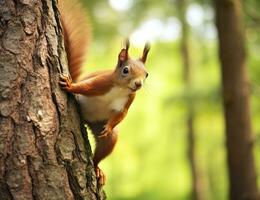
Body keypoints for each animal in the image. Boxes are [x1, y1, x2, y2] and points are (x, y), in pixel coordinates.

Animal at [57, 0, 150, 186]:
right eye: (126, 70)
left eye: (146, 74)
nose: (138, 84)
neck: (121, 88)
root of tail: (87, 121)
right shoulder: (102, 82)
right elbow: (86, 87)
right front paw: (71, 86)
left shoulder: (129, 100)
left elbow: (121, 114)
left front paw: (109, 127)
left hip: (103, 132)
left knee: (102, 150)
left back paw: (97, 169)